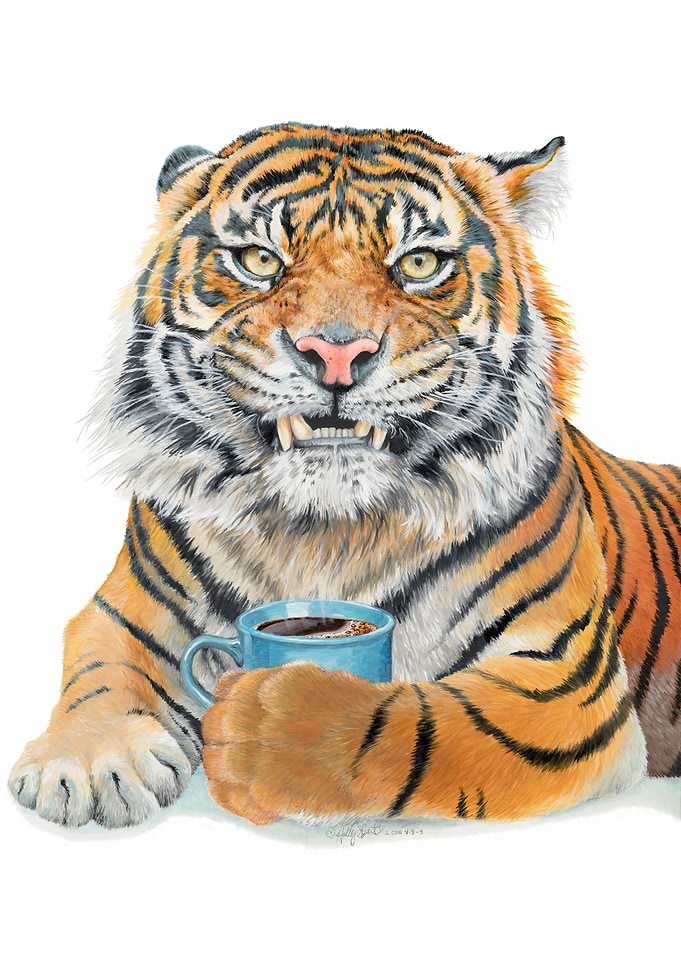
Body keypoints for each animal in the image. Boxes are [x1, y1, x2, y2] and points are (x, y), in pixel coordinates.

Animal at [8, 123, 680, 829]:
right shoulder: (125, 608)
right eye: (259, 260)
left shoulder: (563, 677)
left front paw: (265, 727)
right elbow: (102, 668)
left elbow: (416, 721)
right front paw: (86, 764)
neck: (323, 532)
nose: (336, 353)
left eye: (419, 264)